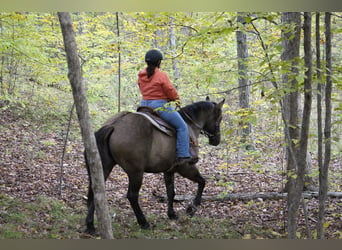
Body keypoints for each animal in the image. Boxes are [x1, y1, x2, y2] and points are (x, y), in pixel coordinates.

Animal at [84, 96, 226, 233]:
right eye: (219, 118)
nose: (216, 140)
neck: (189, 126)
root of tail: (113, 126)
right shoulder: (186, 167)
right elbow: (202, 182)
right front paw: (192, 208)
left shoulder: (169, 170)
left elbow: (171, 192)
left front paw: (172, 214)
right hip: (136, 172)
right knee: (132, 196)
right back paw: (143, 222)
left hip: (104, 167)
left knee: (96, 191)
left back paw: (90, 225)